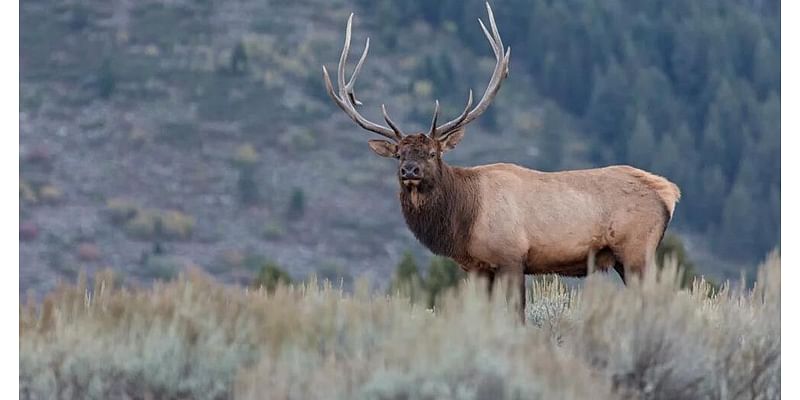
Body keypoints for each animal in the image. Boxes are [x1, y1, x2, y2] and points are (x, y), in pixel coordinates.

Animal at [322, 0, 680, 318]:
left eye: (433, 152)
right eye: (398, 154)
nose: (410, 170)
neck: (464, 218)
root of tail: (669, 192)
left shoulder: (512, 257)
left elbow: (517, 314)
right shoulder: (477, 268)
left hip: (636, 250)